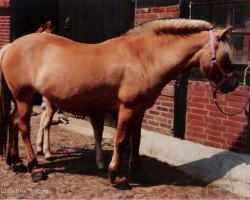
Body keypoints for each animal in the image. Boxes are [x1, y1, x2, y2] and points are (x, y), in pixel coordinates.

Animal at [0, 18, 238, 183]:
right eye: (225, 56)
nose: (233, 84)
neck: (144, 58)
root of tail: (10, 46)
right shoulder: (127, 108)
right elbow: (120, 139)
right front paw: (115, 173)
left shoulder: (140, 110)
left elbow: (136, 140)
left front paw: (137, 171)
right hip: (24, 97)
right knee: (23, 127)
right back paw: (34, 168)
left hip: (21, 98)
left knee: (12, 122)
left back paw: (15, 161)